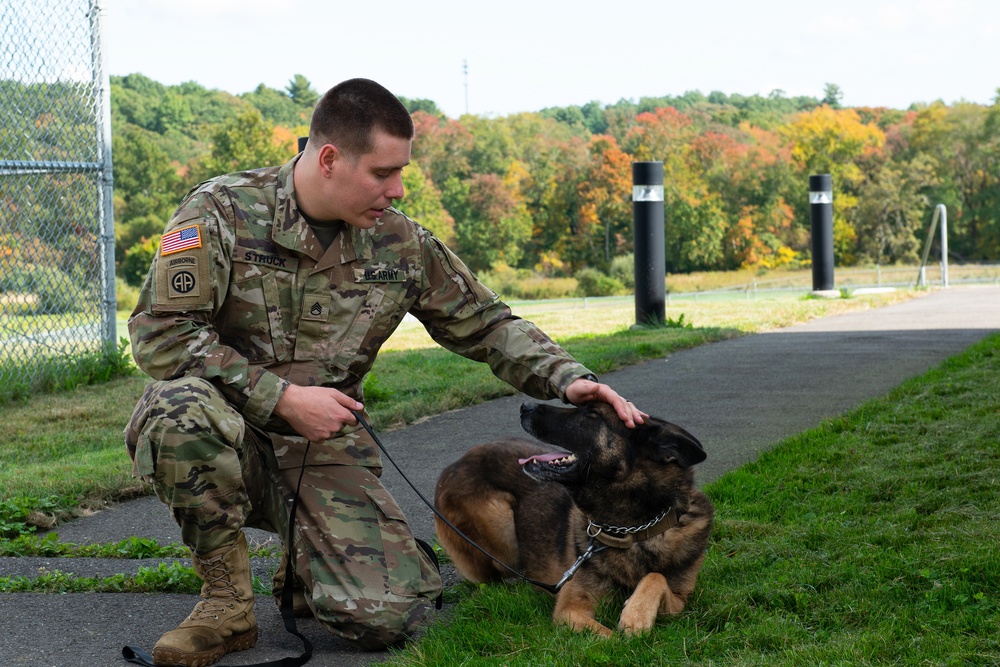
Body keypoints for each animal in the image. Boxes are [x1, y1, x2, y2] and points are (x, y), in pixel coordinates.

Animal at [434, 402, 716, 636]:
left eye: (592, 414)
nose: (525, 406)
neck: (630, 530)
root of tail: (457, 463)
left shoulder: (680, 600)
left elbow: (656, 576)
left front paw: (636, 614)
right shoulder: (571, 609)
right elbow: (609, 638)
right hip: (499, 521)